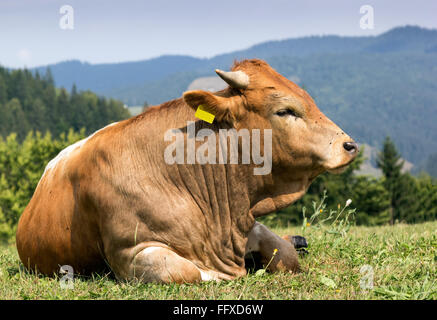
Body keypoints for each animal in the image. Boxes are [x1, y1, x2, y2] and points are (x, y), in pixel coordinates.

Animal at [16, 59, 358, 282]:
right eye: (285, 110)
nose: (349, 145)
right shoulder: (131, 252)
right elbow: (189, 272)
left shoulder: (243, 224)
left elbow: (286, 255)